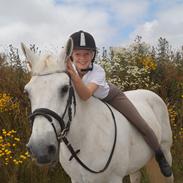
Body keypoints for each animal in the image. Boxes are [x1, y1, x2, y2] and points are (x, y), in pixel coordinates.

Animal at [21, 41, 173, 183]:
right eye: (27, 92)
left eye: (64, 88)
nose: (40, 149)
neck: (85, 139)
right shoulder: (76, 179)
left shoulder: (114, 178)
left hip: (166, 151)